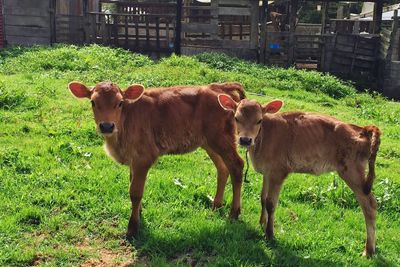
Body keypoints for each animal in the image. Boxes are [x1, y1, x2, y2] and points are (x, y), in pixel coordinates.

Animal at [68, 81, 247, 239]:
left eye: (120, 103)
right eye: (93, 102)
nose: (106, 126)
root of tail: (219, 86)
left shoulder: (143, 158)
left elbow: (135, 192)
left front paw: (133, 227)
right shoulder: (133, 160)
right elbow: (132, 184)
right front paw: (139, 214)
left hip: (221, 139)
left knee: (237, 166)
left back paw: (234, 213)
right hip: (209, 142)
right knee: (223, 169)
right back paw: (216, 205)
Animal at [219, 96, 382, 258]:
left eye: (259, 120)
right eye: (236, 118)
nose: (245, 140)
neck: (263, 139)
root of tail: (363, 129)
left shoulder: (278, 172)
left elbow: (271, 203)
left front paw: (269, 234)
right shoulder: (267, 172)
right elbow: (263, 198)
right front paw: (262, 222)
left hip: (352, 172)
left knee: (370, 205)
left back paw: (368, 250)